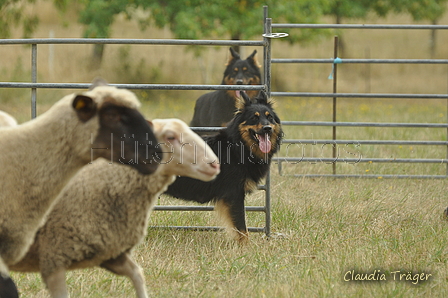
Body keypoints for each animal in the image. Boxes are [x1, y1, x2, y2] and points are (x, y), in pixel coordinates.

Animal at [164, 91, 284, 242]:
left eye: (270, 117)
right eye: (254, 118)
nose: (267, 128)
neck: (238, 146)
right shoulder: (234, 194)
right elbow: (242, 229)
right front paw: (246, 246)